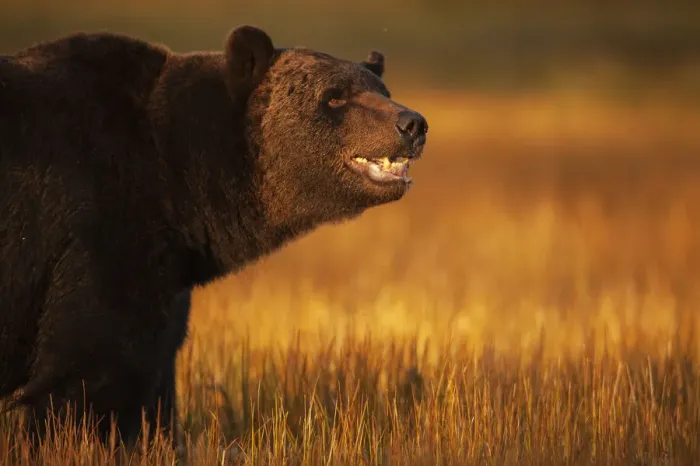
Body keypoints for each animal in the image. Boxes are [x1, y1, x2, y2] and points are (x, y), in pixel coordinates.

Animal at [0, 24, 428, 454]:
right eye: (335, 96)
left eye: (383, 90)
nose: (412, 124)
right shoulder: (97, 228)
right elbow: (85, 374)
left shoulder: (164, 275)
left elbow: (154, 382)